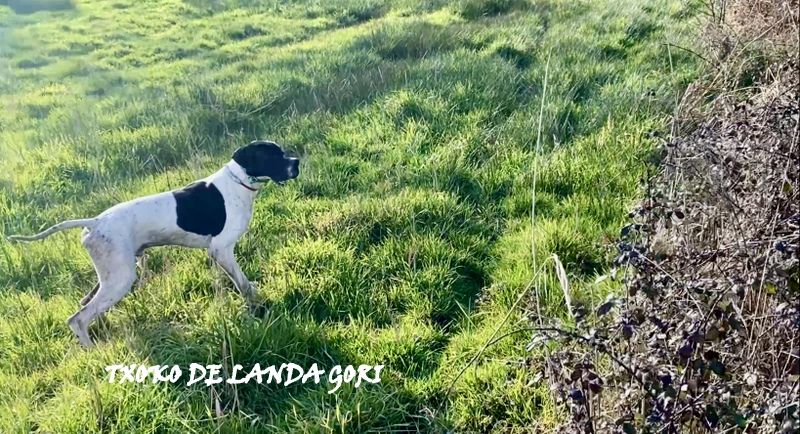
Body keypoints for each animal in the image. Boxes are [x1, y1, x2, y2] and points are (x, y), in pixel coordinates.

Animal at [7, 139, 300, 346]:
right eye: (272, 156)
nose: (296, 162)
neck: (238, 181)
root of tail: (95, 222)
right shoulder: (222, 250)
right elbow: (242, 283)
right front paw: (255, 305)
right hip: (121, 278)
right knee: (78, 319)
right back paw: (93, 352)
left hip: (111, 275)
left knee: (86, 305)